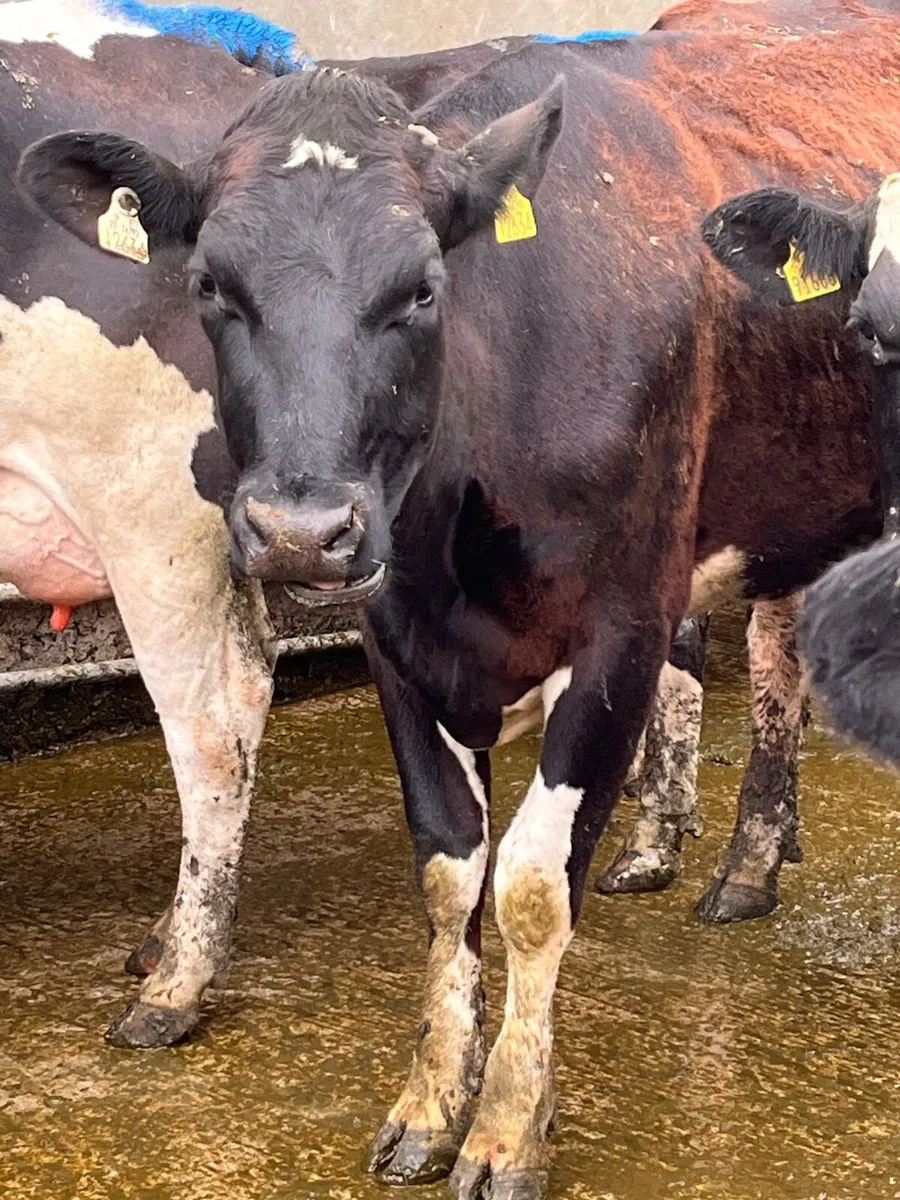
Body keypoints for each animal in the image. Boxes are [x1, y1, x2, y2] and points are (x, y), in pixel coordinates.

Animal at [20, 12, 900, 1197]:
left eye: (424, 288)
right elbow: (448, 874)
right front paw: (432, 1102)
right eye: (209, 284)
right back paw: (749, 860)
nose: (299, 529)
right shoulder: (396, 636)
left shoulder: (620, 630)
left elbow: (530, 887)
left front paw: (508, 1128)